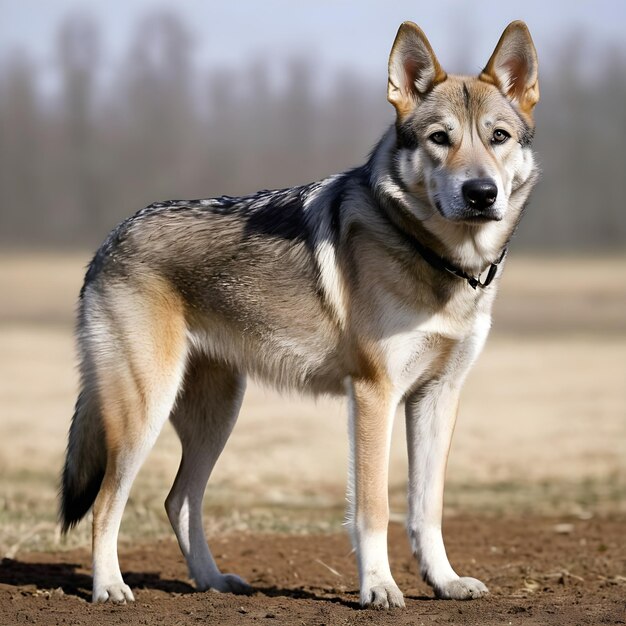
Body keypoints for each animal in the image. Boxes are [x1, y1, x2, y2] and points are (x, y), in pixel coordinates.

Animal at [59, 20, 536, 608]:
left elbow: (428, 508)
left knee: (179, 500)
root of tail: (109, 240)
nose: (480, 193)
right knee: (109, 503)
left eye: (499, 137)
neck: (439, 260)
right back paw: (110, 587)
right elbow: (374, 509)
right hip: (144, 411)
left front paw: (445, 582)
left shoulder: (438, 396)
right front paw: (379, 588)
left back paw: (213, 583)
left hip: (217, 414)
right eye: (440, 138)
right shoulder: (374, 395)